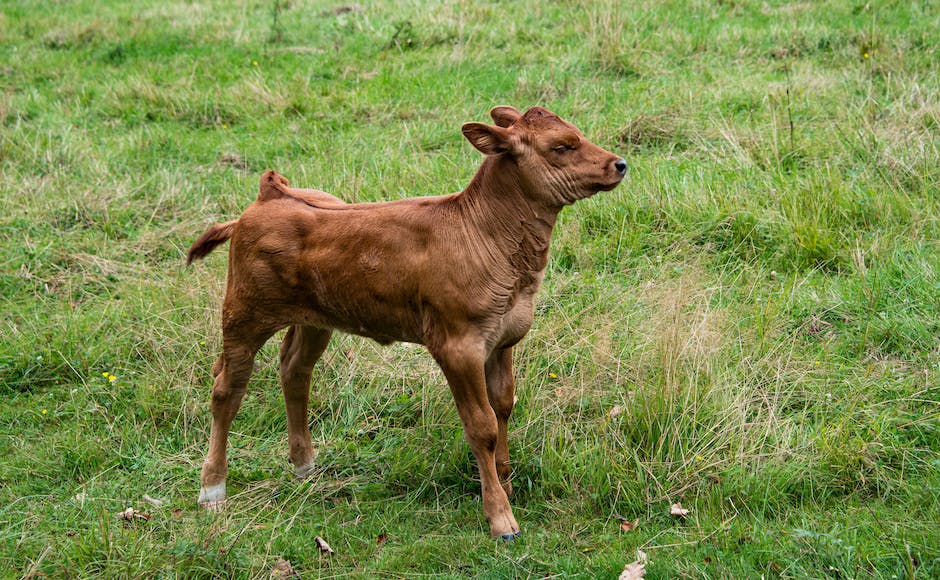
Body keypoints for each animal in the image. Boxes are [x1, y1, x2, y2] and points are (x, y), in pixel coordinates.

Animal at [187, 105, 624, 540]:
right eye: (562, 146)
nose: (619, 164)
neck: (486, 235)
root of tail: (269, 193)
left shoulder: (502, 340)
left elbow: (503, 406)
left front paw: (505, 480)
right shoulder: (457, 345)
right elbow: (482, 425)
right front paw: (500, 516)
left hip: (315, 319)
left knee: (295, 371)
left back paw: (304, 465)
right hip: (244, 313)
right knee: (227, 390)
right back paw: (212, 489)